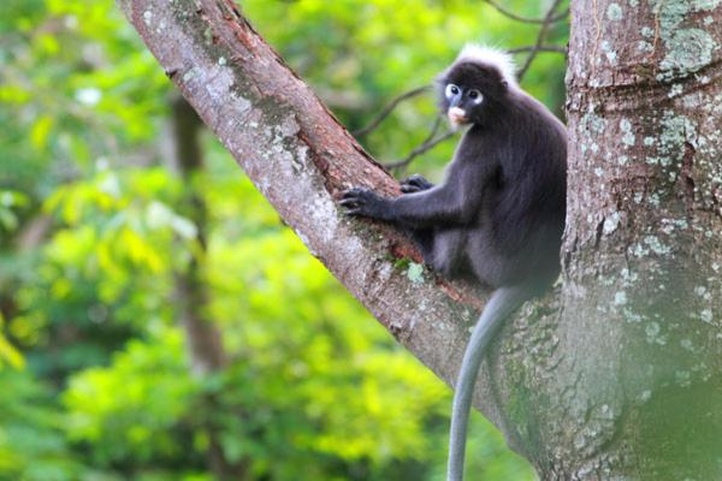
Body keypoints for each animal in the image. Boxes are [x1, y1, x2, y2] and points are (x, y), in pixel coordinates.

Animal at [338, 44, 568, 476]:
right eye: (455, 89)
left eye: (474, 95)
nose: (459, 105)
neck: (500, 107)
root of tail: (540, 271)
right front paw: (419, 185)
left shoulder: (482, 140)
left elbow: (459, 203)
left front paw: (379, 205)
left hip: (487, 254)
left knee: (466, 217)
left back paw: (428, 248)